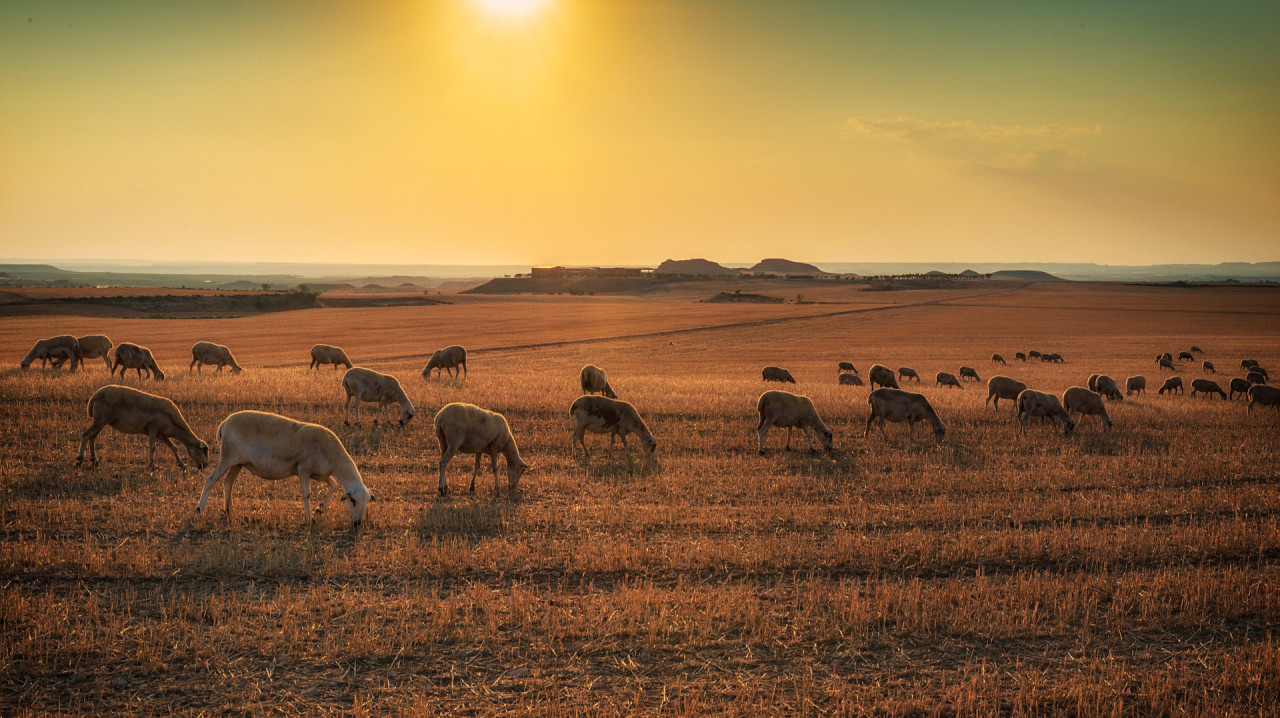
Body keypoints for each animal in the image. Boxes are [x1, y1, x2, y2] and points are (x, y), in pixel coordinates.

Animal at [76, 383, 207, 468]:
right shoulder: (153, 428)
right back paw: (79, 460)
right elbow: (153, 447)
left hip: (101, 422)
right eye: (203, 451)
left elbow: (174, 447)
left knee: (92, 437)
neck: (174, 423)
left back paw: (94, 460)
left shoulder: (162, 434)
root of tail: (93, 397)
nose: (204, 466)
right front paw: (152, 465)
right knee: (85, 435)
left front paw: (181, 464)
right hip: (100, 420)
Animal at [194, 409, 373, 527]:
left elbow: (334, 485)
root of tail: (224, 424)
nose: (357, 524)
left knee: (228, 482)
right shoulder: (303, 469)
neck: (335, 458)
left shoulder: (319, 474)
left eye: (367, 502)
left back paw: (227, 510)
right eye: (353, 501)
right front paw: (309, 518)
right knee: (210, 479)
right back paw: (199, 510)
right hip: (228, 456)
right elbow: (307, 494)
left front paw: (320, 509)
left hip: (238, 462)